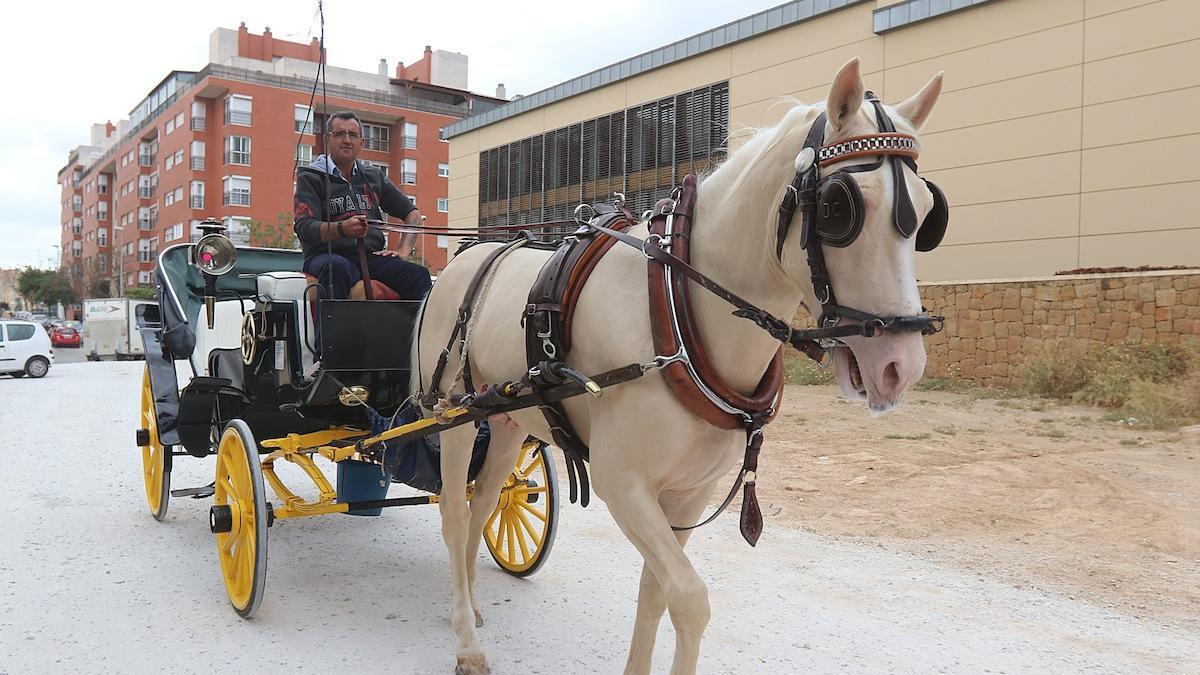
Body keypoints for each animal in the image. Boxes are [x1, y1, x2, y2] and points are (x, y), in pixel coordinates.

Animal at [417, 59, 940, 672]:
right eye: (841, 208)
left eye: (928, 214)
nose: (901, 364)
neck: (674, 305)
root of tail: (467, 256)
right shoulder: (622, 483)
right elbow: (689, 599)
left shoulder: (690, 492)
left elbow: (656, 591)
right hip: (452, 415)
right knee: (454, 515)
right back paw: (467, 641)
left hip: (504, 423)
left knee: (481, 506)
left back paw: (471, 606)